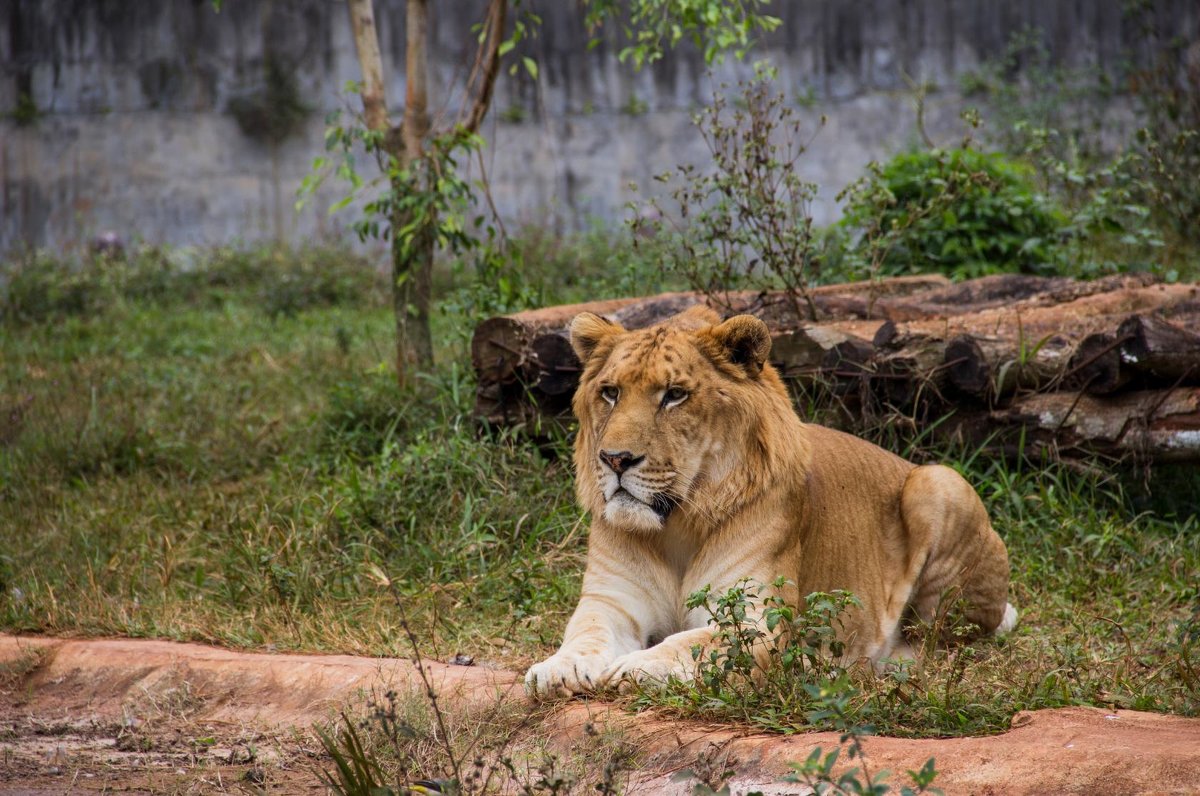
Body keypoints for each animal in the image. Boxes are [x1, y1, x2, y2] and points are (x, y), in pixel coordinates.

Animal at [525, 304, 1012, 696]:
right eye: (610, 392)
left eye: (674, 395)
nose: (615, 459)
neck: (676, 527)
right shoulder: (610, 601)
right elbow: (585, 633)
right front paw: (557, 669)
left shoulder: (758, 622)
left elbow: (690, 644)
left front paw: (633, 668)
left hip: (940, 482)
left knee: (948, 639)